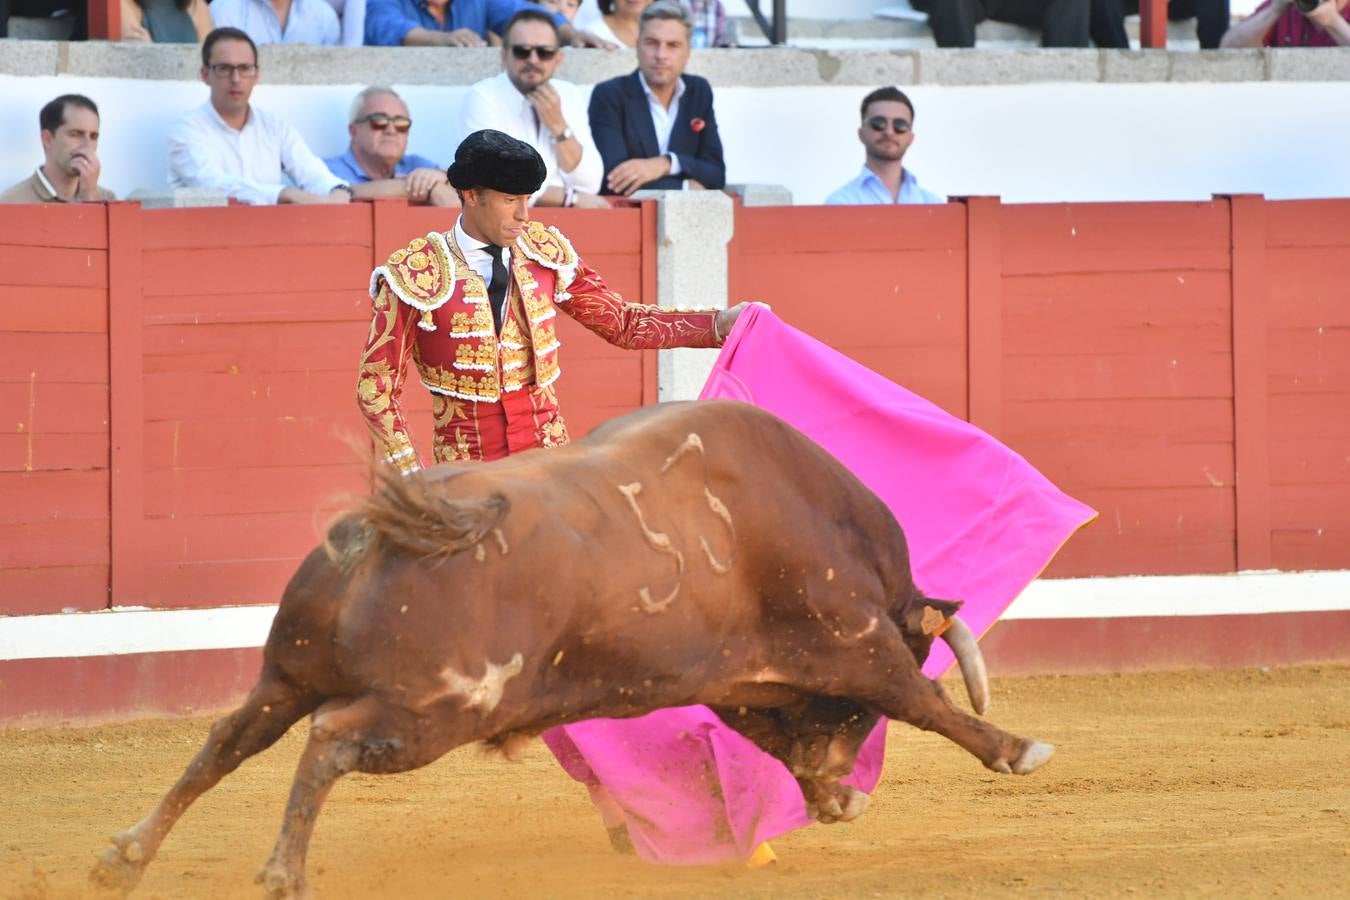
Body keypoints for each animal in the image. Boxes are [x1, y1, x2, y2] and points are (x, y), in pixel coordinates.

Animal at [95, 402, 1058, 900]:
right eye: (853, 714)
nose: (838, 796)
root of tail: (393, 526)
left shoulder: (739, 679)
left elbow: (773, 738)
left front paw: (826, 794)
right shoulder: (851, 643)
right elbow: (923, 701)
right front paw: (1019, 749)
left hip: (286, 674)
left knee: (229, 739)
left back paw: (126, 856)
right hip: (432, 712)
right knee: (329, 739)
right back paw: (280, 873)